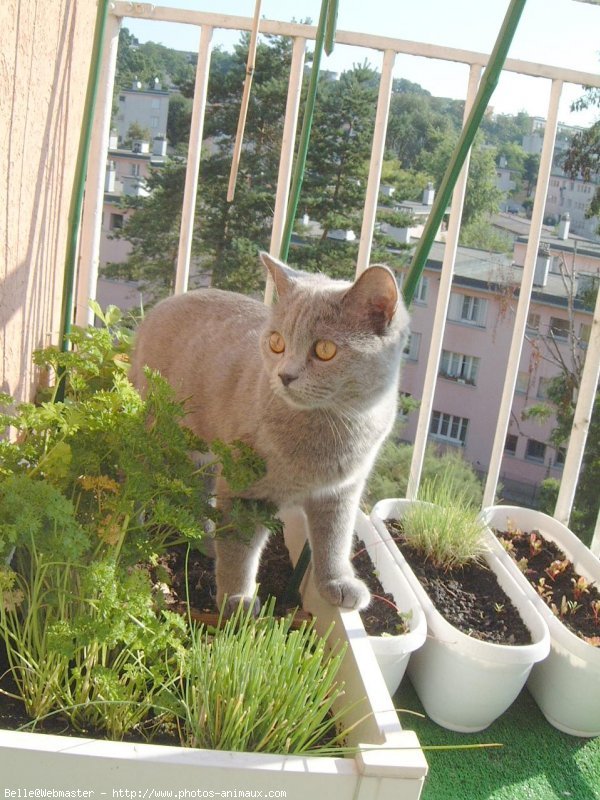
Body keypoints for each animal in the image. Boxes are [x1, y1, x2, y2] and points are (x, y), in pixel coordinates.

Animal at [131, 253, 410, 608]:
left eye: (325, 350)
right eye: (277, 343)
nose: (285, 375)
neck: (329, 429)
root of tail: (161, 305)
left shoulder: (341, 491)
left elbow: (334, 539)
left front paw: (337, 583)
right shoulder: (245, 489)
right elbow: (238, 549)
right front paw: (236, 601)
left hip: (204, 448)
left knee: (200, 489)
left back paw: (205, 541)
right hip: (161, 430)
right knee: (137, 474)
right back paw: (134, 531)